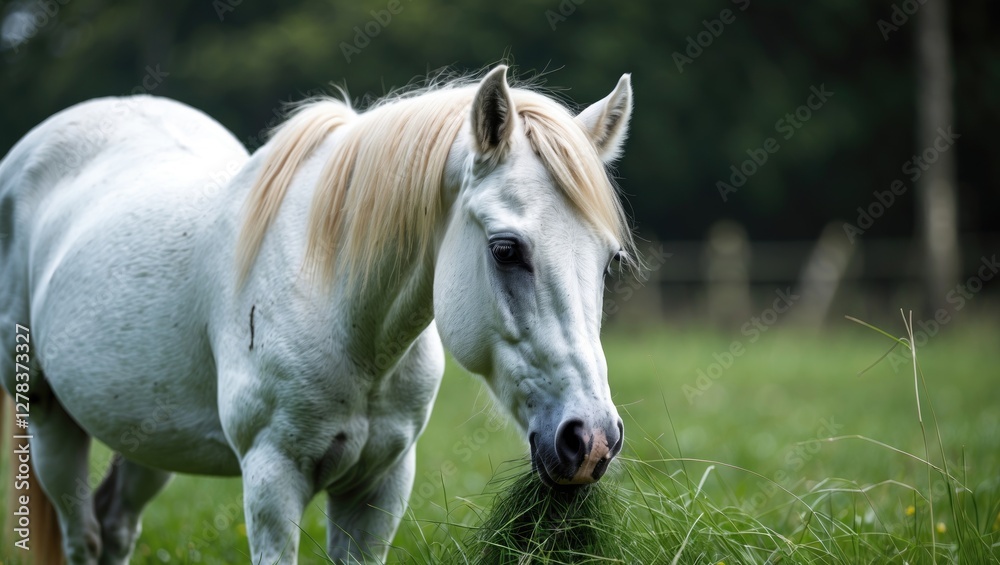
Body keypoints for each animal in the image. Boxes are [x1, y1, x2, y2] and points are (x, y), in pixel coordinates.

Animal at [0, 65, 635, 563]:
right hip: (51, 422)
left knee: (114, 527)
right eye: (505, 250)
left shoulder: (379, 486)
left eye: (607, 260)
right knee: (83, 537)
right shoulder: (271, 479)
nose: (591, 441)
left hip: (149, 436)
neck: (346, 317)